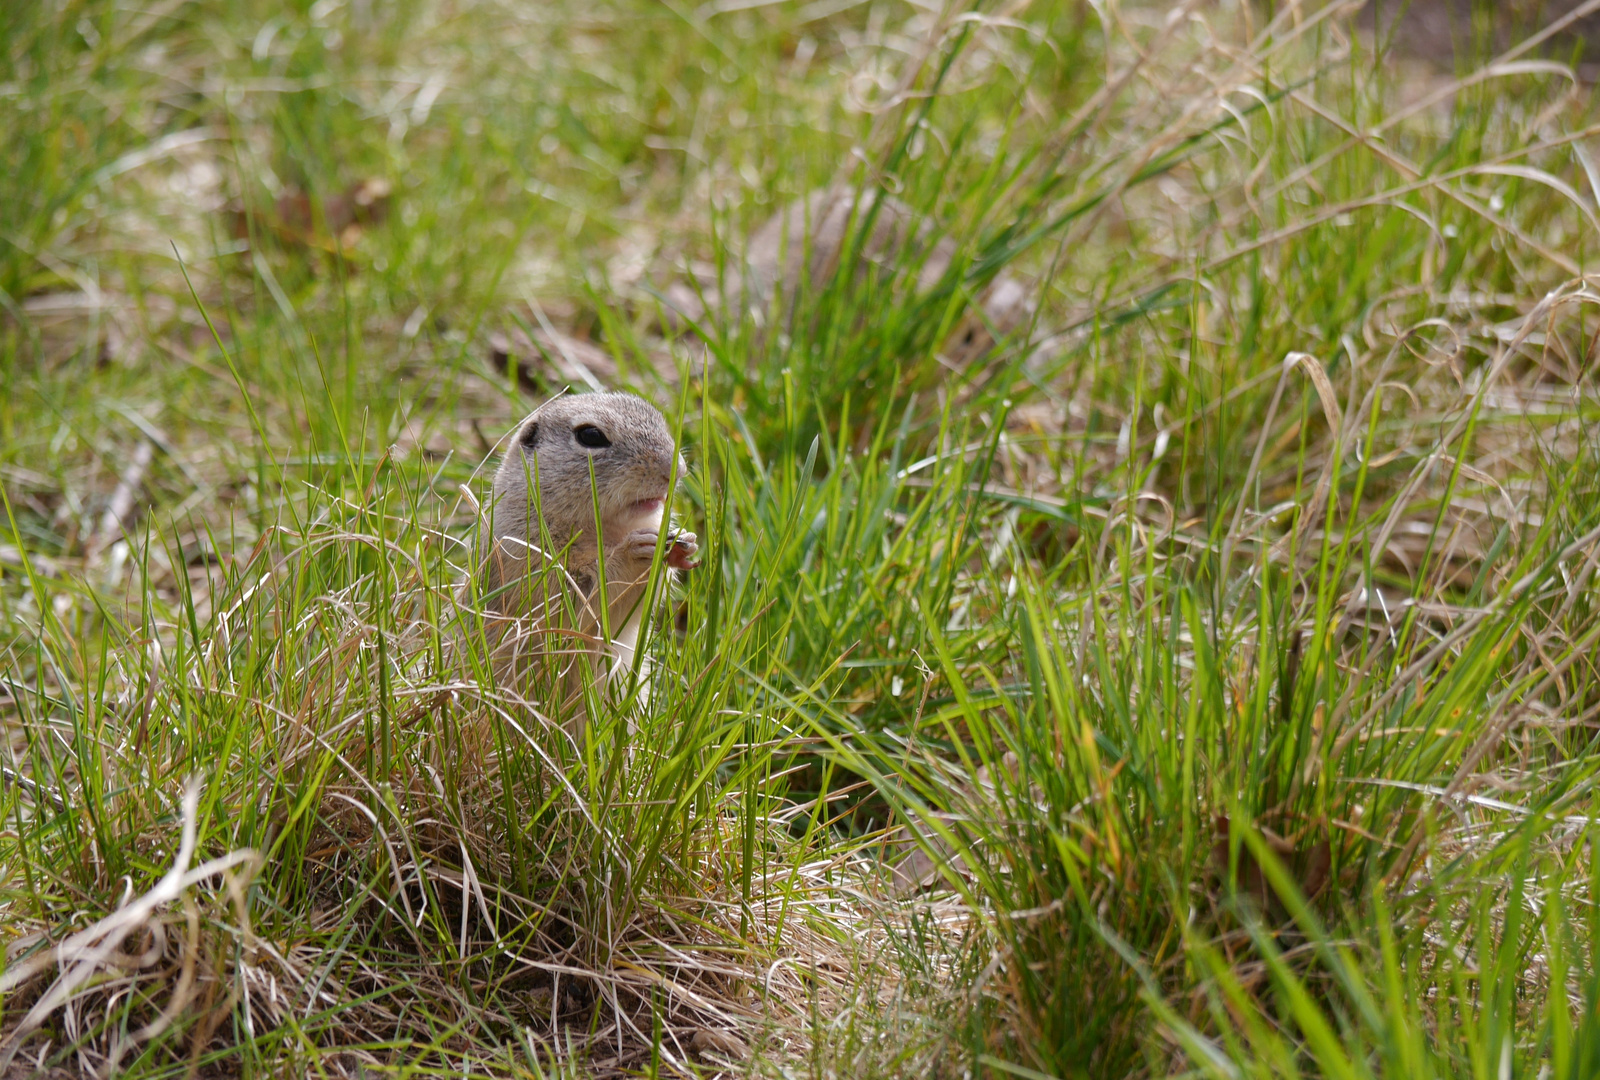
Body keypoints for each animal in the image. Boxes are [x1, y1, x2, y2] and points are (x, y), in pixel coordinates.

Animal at [476, 390, 697, 726]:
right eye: (590, 435)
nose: (677, 470)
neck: (604, 530)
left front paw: (684, 546)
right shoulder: (524, 555)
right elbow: (574, 609)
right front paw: (636, 554)